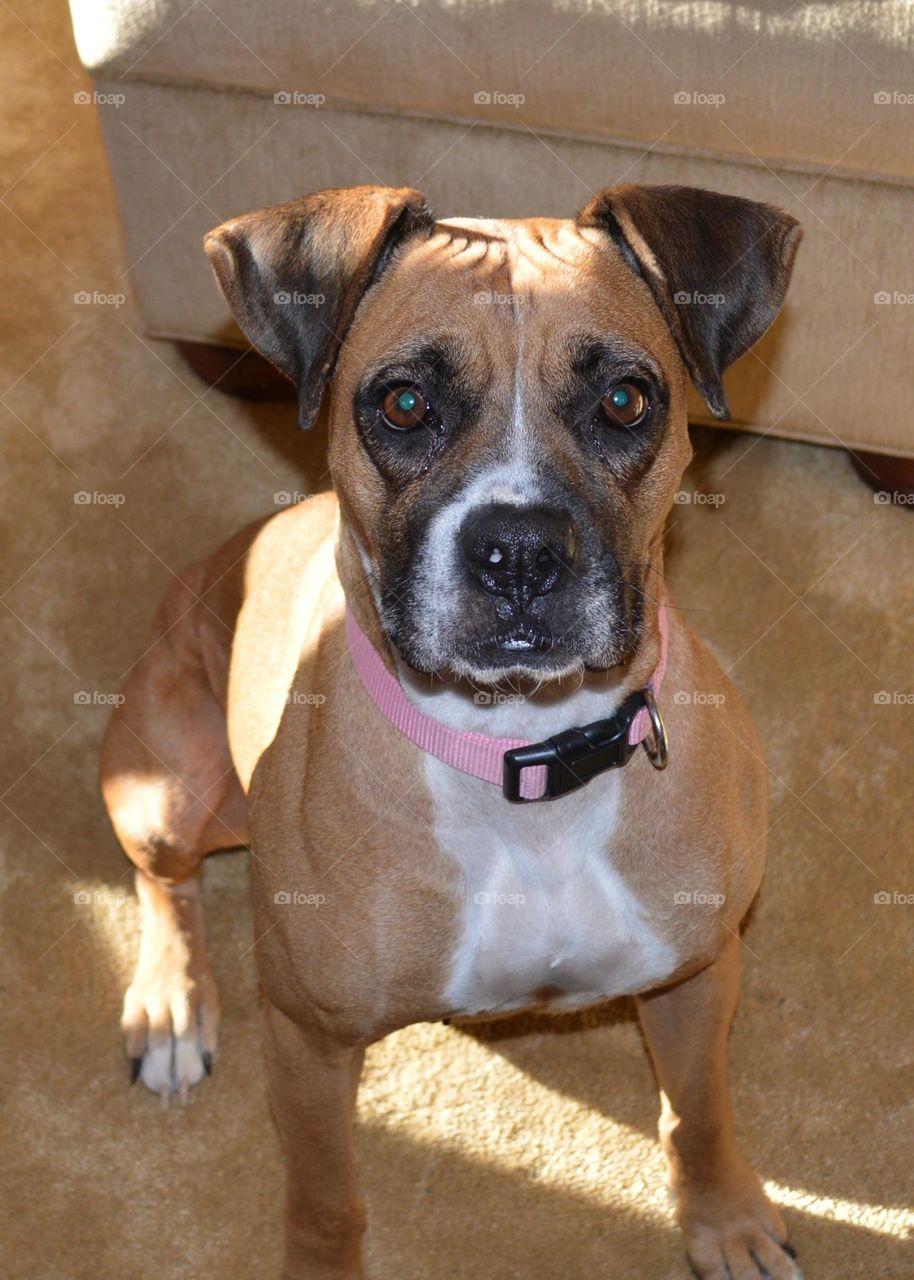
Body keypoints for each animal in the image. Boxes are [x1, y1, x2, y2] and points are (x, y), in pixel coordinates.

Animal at [99, 183, 798, 1280]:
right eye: (402, 404)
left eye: (625, 401)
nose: (519, 551)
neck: (522, 756)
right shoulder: (308, 1036)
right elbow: (326, 1199)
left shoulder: (696, 970)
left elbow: (699, 1112)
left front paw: (724, 1220)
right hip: (169, 791)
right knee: (165, 886)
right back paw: (171, 1003)